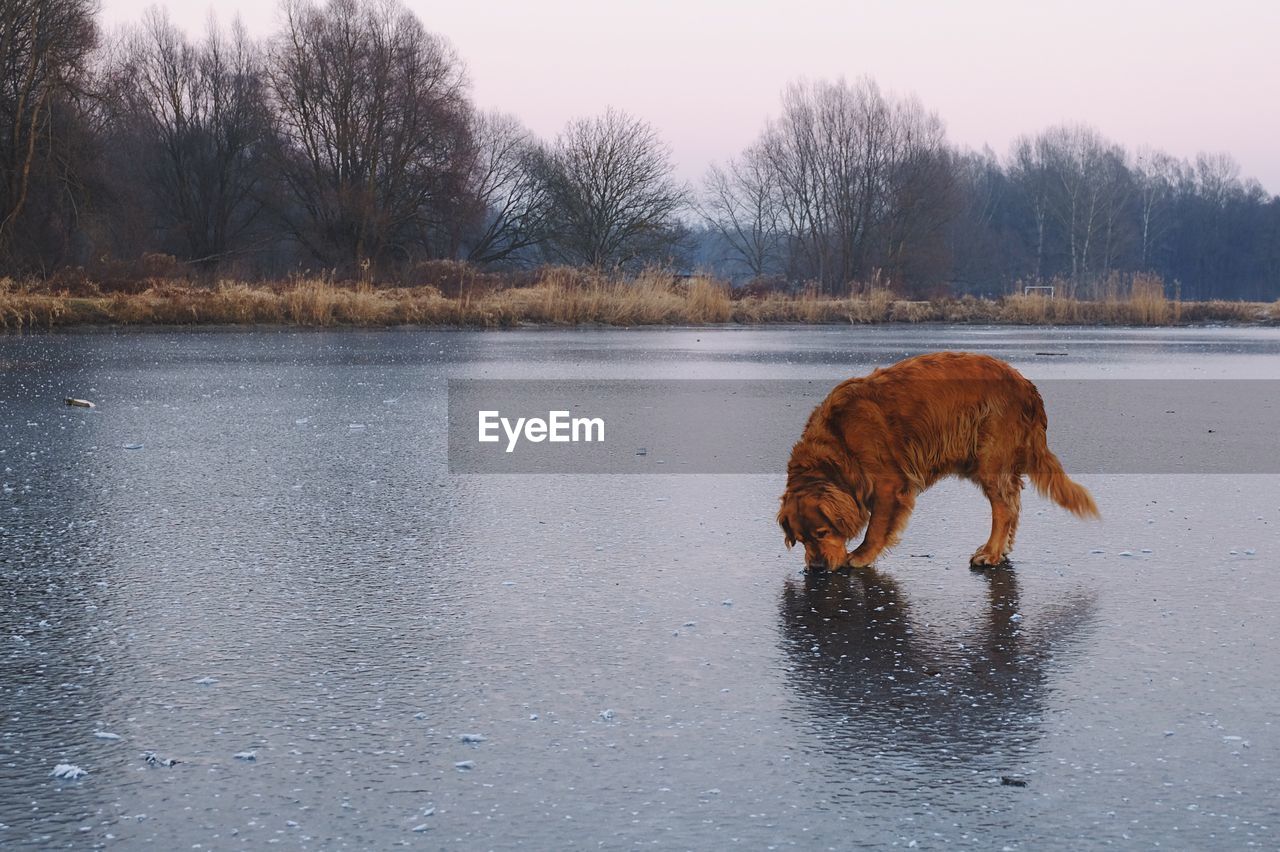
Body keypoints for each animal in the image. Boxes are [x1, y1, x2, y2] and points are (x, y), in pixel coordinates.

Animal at [778, 347, 1100, 568]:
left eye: (822, 533)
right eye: (802, 540)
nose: (816, 568)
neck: (839, 440)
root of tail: (1028, 386)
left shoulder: (889, 485)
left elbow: (876, 528)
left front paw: (860, 556)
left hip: (989, 461)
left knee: (1004, 508)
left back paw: (991, 552)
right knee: (1014, 503)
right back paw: (1003, 548)